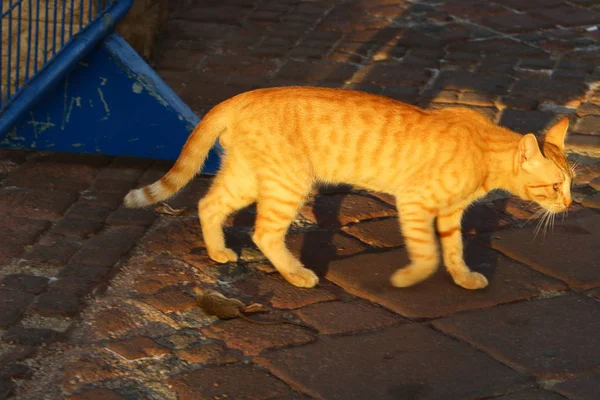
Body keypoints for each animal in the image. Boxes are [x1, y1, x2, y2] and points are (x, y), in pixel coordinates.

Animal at [123, 86, 572, 290]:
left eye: (571, 183)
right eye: (553, 186)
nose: (569, 205)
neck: (485, 150)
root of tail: (246, 94)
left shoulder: (449, 212)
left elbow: (454, 250)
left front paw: (463, 277)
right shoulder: (415, 202)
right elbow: (428, 255)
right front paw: (408, 278)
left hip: (247, 176)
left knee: (209, 204)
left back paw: (217, 251)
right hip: (287, 183)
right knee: (263, 232)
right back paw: (296, 274)